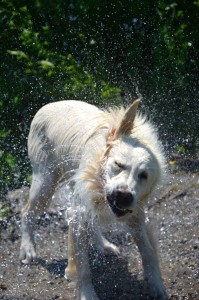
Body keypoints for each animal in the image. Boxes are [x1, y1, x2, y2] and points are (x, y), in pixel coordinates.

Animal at [19, 99, 166, 298]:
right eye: (118, 164)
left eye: (143, 175)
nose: (123, 195)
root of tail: (48, 105)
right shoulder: (79, 211)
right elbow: (83, 268)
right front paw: (86, 294)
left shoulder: (135, 215)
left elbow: (148, 252)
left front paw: (157, 285)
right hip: (45, 182)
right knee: (26, 211)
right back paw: (28, 248)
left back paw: (104, 245)